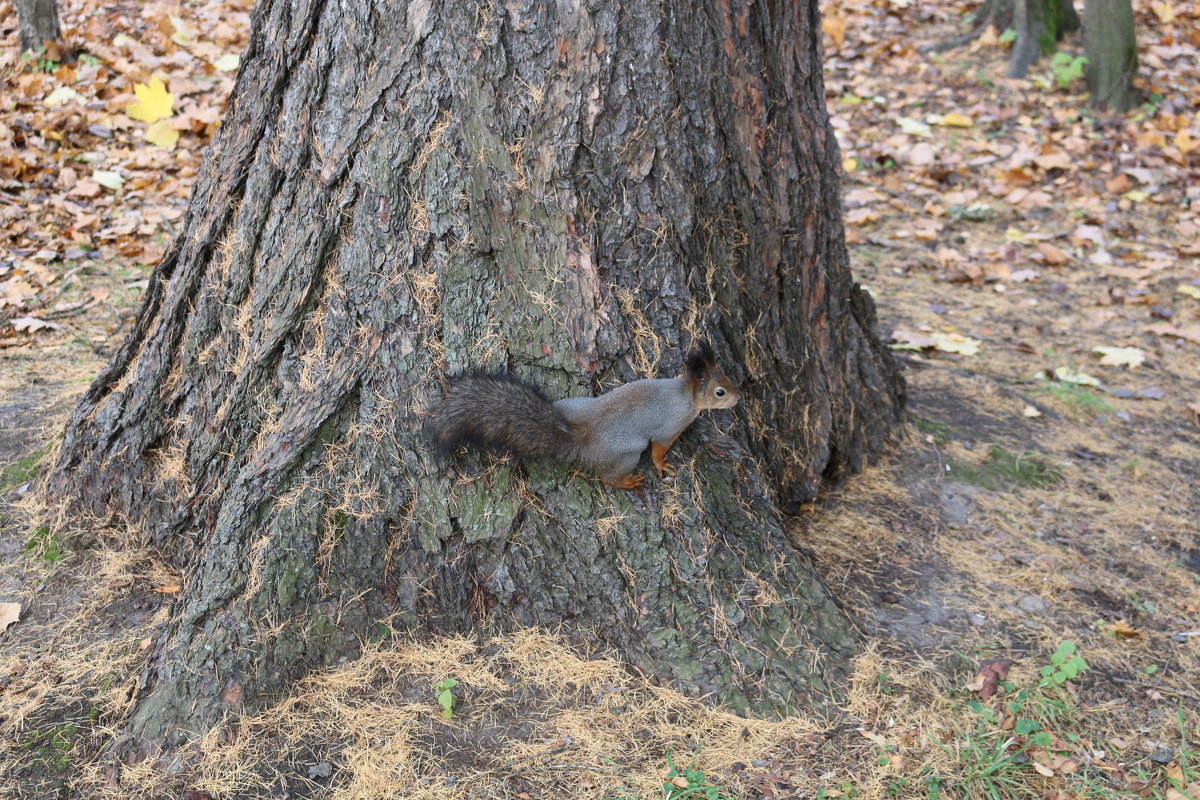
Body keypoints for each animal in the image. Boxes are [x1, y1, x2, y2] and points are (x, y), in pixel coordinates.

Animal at [427, 343, 734, 489]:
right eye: (720, 392)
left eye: (728, 380)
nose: (739, 397)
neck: (685, 393)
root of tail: (578, 434)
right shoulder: (671, 426)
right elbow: (659, 449)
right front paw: (662, 466)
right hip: (626, 454)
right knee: (609, 478)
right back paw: (628, 482)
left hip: (575, 404)